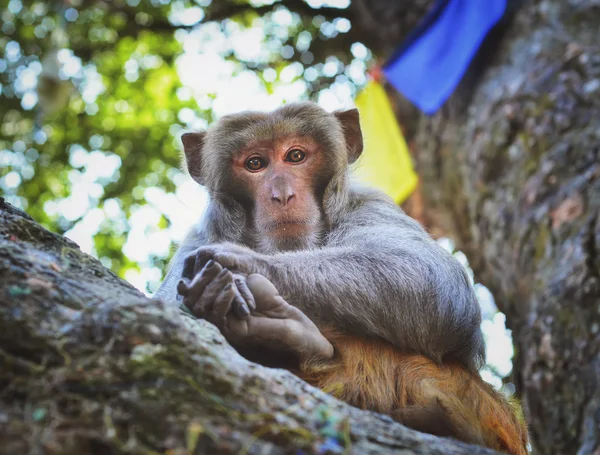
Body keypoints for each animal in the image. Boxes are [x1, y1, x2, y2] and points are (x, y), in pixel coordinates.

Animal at [156, 101, 528, 454]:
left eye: (295, 156)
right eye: (255, 163)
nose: (282, 195)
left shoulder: (369, 204)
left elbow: (434, 280)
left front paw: (242, 267)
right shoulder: (200, 237)